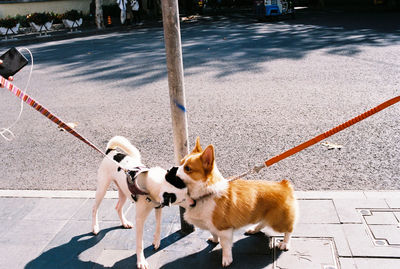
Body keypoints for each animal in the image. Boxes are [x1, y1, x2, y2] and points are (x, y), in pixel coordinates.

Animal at [92, 136, 188, 268]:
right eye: (183, 199)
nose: (195, 202)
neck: (149, 184)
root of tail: (111, 151)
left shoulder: (158, 207)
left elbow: (158, 226)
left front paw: (156, 241)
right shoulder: (140, 220)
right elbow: (139, 243)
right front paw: (141, 261)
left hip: (123, 192)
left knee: (118, 207)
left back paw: (125, 223)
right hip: (102, 188)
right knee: (95, 208)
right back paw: (95, 227)